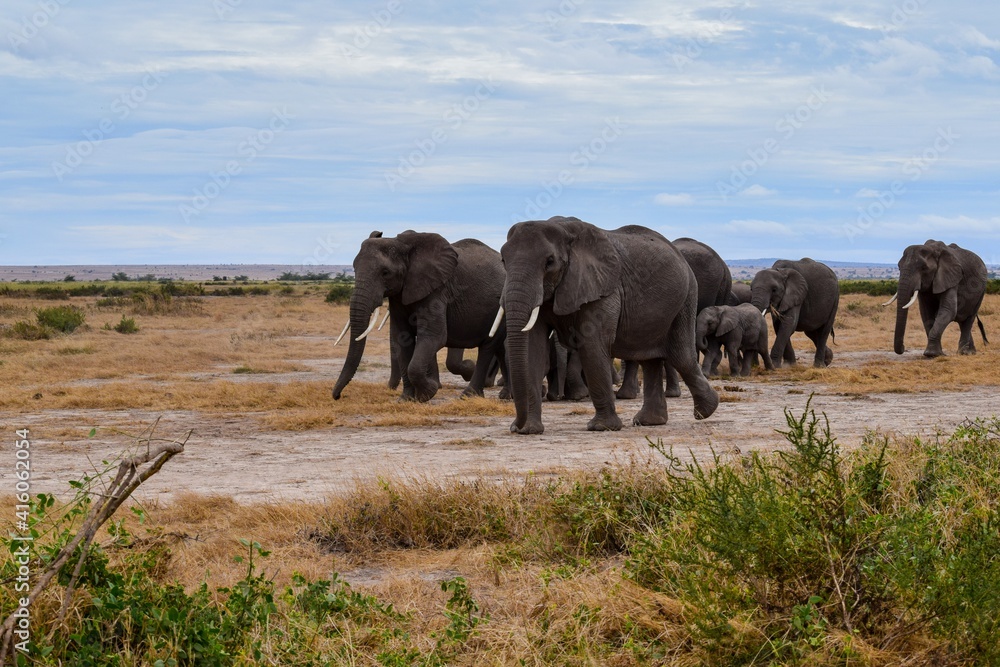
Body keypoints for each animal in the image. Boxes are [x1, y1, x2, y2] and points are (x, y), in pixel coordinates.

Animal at [332, 231, 507, 402]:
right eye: (354, 269)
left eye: (385, 273)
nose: (337, 396)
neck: (403, 245)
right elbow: (402, 338)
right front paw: (406, 399)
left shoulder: (437, 290)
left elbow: (434, 337)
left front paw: (428, 393)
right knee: (499, 348)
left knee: (487, 348)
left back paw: (470, 394)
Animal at [498, 216, 719, 434]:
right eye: (503, 260)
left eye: (549, 262)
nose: (516, 427)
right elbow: (533, 349)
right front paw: (529, 430)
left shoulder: (604, 289)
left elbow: (591, 345)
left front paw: (601, 427)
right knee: (650, 359)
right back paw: (650, 422)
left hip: (686, 297)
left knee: (680, 355)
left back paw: (706, 410)